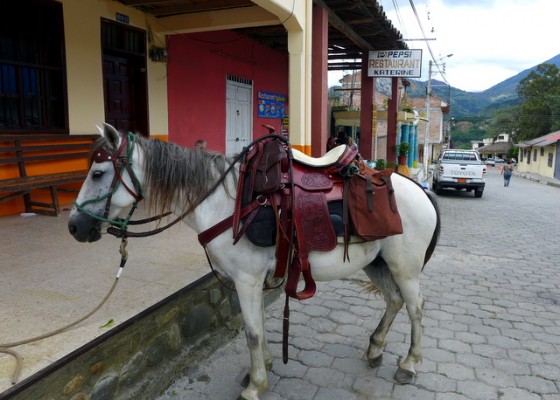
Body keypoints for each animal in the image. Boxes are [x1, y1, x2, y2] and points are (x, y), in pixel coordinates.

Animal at [68, 123, 440, 398]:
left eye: (98, 173)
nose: (74, 226)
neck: (224, 202)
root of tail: (420, 190)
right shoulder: (254, 280)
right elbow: (259, 326)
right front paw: (262, 370)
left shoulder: (246, 279)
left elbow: (251, 332)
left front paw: (255, 387)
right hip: (377, 264)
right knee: (393, 301)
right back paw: (375, 349)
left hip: (404, 268)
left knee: (416, 307)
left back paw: (408, 364)